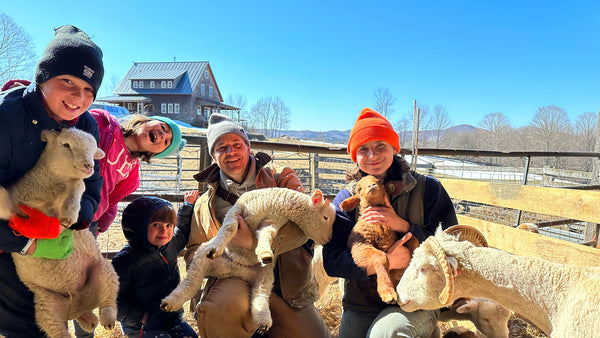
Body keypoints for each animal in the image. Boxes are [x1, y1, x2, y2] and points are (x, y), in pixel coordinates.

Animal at [0, 128, 119, 336]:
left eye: (93, 152)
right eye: (66, 145)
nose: (89, 166)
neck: (48, 186)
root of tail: (78, 306)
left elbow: (80, 184)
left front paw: (70, 213)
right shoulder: (18, 206)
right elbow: (6, 206)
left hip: (105, 272)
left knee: (109, 301)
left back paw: (107, 319)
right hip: (47, 306)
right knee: (61, 330)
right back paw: (90, 320)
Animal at [162, 187, 336, 332]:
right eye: (325, 217)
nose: (329, 240)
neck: (274, 204)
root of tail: (234, 271)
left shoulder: (271, 221)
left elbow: (267, 234)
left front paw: (265, 252)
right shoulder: (236, 211)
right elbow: (230, 227)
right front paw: (216, 248)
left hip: (264, 275)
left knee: (260, 296)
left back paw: (263, 320)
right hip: (201, 259)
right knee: (191, 283)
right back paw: (169, 302)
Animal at [340, 174, 420, 304]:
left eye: (380, 181)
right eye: (359, 189)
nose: (372, 186)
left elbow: (413, 239)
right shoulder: (359, 246)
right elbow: (381, 256)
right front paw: (387, 292)